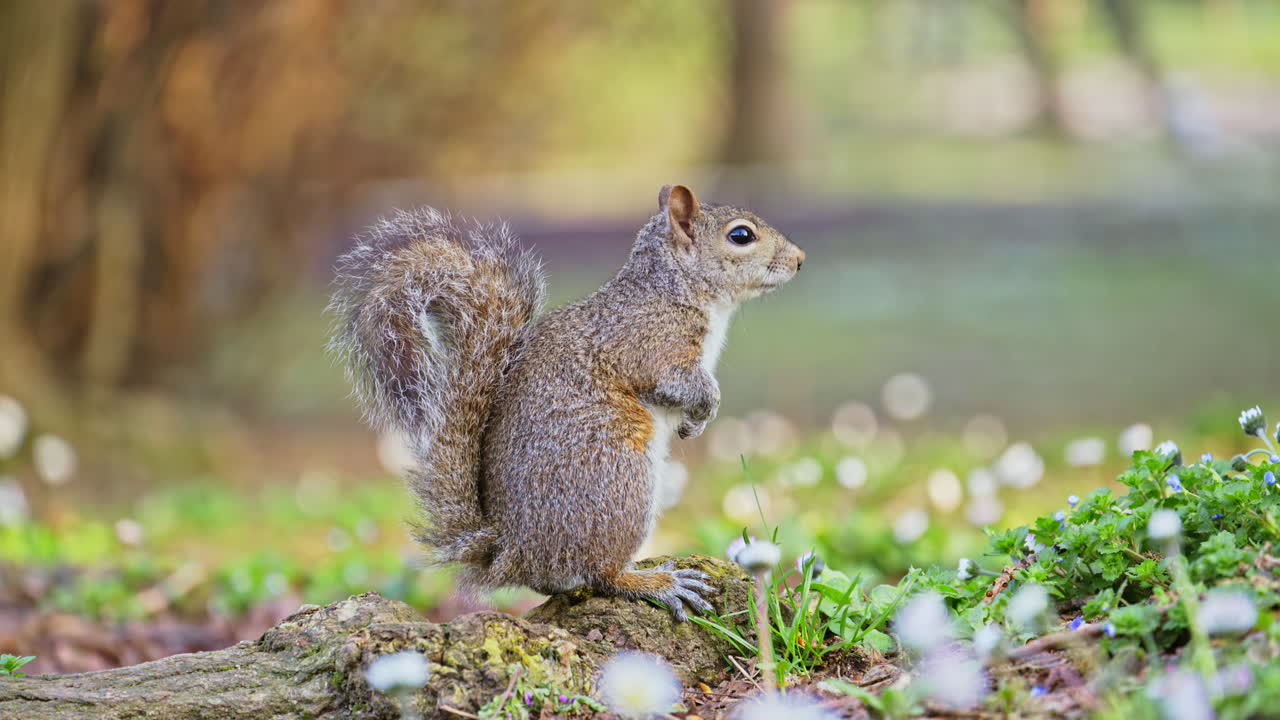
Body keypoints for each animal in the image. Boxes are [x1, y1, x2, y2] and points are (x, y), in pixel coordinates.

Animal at [329, 184, 805, 620]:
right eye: (741, 236)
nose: (800, 259)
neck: (674, 289)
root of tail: (513, 553)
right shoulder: (649, 346)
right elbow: (680, 383)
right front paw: (706, 407)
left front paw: (693, 425)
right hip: (619, 485)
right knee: (600, 573)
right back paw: (656, 583)